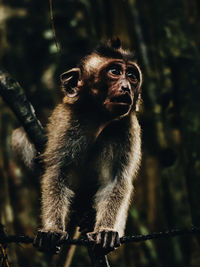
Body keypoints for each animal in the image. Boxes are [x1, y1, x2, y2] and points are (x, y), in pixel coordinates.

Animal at [23, 39, 142, 258]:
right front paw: (52, 230)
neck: (99, 118)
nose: (126, 87)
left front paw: (105, 232)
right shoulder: (68, 122)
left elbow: (118, 179)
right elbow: (56, 172)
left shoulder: (128, 128)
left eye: (131, 75)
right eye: (114, 71)